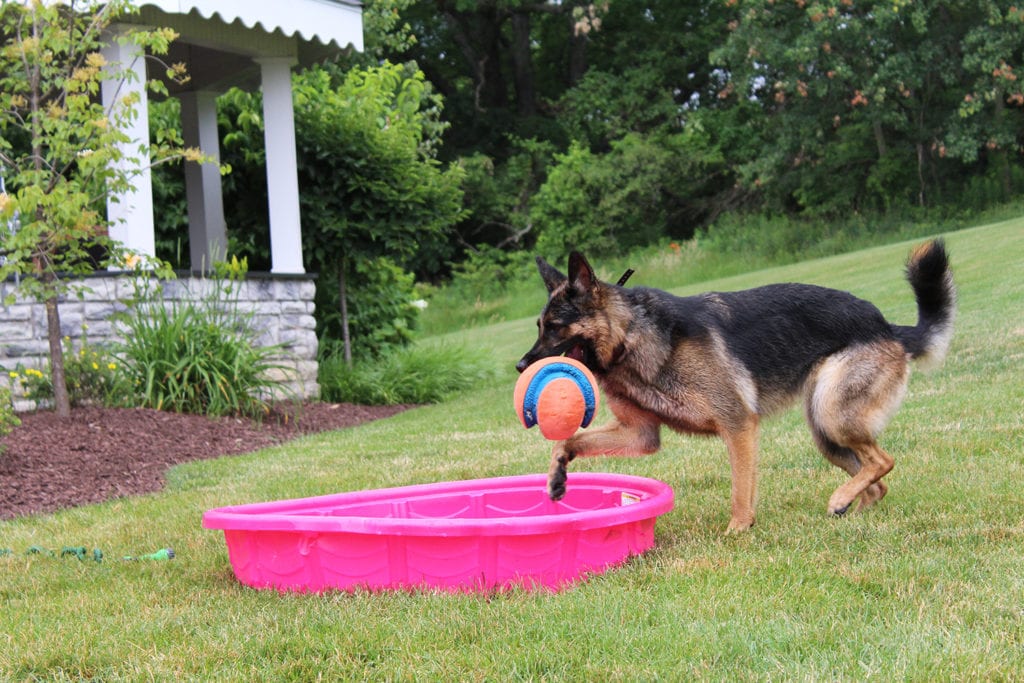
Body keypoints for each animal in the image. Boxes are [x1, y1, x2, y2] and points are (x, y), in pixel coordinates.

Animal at [516, 241, 954, 532]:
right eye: (539, 326)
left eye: (554, 327)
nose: (520, 365)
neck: (631, 336)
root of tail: (888, 326)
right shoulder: (639, 435)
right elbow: (567, 442)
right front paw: (556, 476)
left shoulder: (738, 425)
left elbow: (741, 490)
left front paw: (737, 532)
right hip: (826, 434)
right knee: (876, 483)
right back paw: (849, 510)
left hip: (834, 417)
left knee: (883, 461)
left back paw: (840, 500)